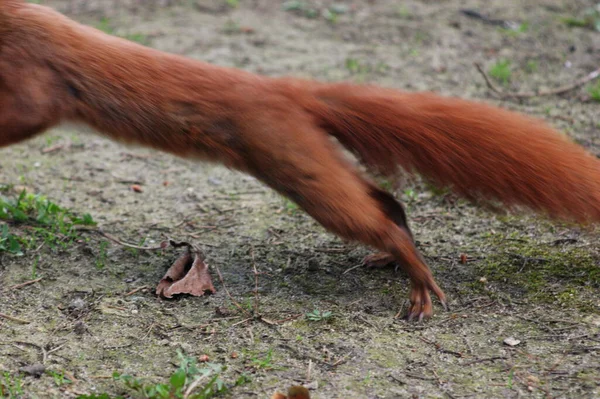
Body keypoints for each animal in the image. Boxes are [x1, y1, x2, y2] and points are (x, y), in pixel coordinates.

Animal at [1, 0, 600, 318]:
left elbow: (27, 112)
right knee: (385, 200)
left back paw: (419, 287)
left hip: (294, 164)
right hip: (311, 161)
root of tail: (288, 91)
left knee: (373, 214)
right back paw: (388, 262)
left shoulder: (36, 76)